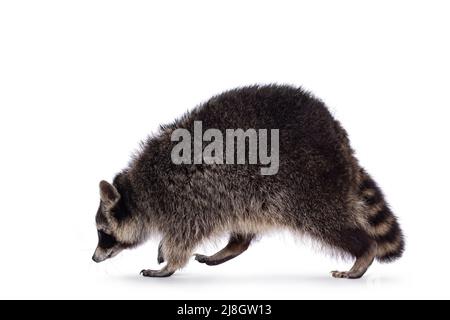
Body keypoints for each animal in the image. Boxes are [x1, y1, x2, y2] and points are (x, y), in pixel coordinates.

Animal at [91, 84, 404, 278]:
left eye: (103, 233)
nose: (93, 258)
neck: (138, 192)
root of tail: (337, 134)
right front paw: (163, 250)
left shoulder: (185, 200)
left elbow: (183, 236)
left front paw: (170, 263)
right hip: (249, 195)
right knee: (244, 222)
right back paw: (232, 247)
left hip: (308, 184)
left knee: (326, 220)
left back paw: (364, 250)